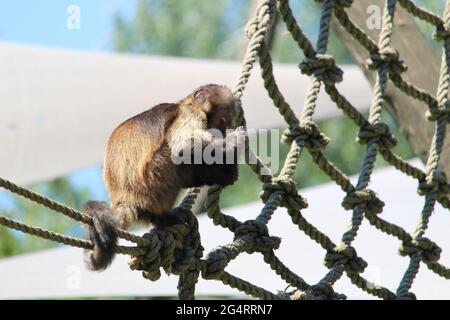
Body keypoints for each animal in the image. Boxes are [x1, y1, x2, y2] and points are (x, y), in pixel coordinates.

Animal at [82, 84, 244, 270]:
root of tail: (125, 197)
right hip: (153, 180)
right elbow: (183, 147)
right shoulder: (190, 113)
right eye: (222, 122)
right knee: (174, 153)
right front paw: (232, 142)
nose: (222, 131)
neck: (186, 104)